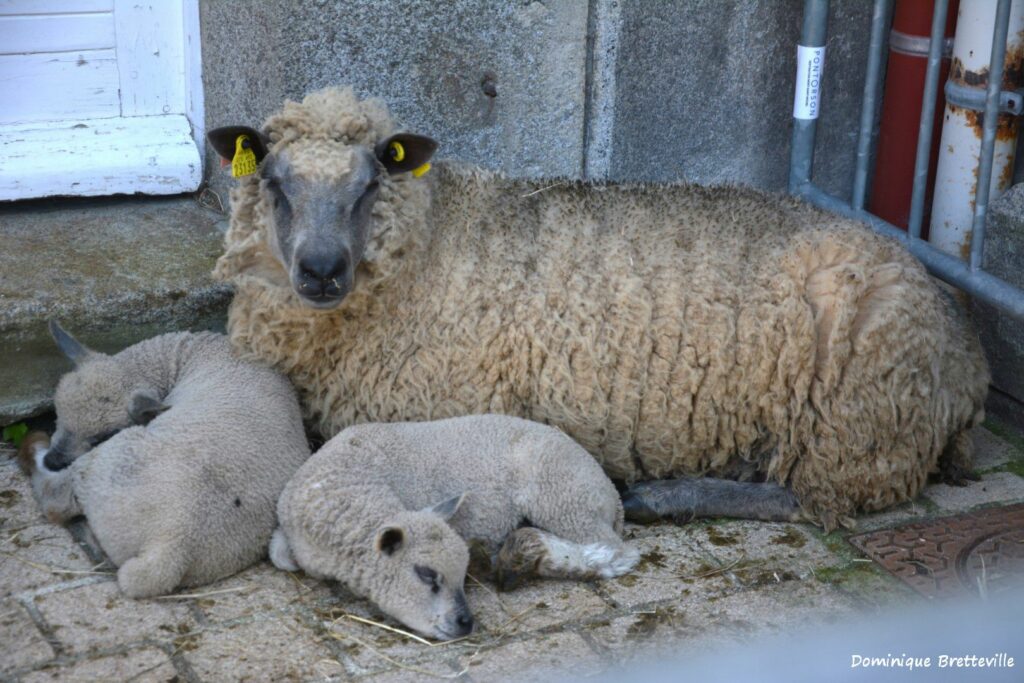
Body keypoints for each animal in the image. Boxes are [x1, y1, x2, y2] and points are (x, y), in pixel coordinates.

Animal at [28, 322, 310, 598]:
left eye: (102, 435)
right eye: (57, 412)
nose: (53, 460)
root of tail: (170, 548)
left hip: (110, 461)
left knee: (55, 501)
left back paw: (34, 449)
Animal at [208, 87, 990, 531]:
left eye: (370, 183)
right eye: (273, 182)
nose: (320, 270)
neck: (431, 240)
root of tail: (967, 357)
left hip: (858, 429)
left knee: (813, 501)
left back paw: (659, 496)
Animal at [271, 414, 639, 640]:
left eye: (461, 577)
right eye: (426, 575)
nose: (465, 623)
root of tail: (612, 495)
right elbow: (279, 555)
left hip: (563, 495)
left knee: (614, 552)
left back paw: (524, 557)